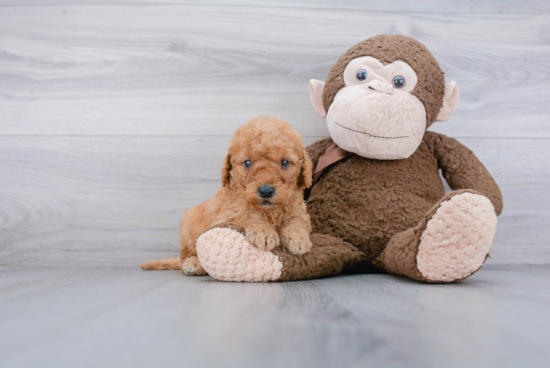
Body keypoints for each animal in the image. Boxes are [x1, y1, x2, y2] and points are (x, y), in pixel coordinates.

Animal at [140, 116, 314, 274]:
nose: (266, 191)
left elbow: (296, 221)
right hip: (188, 229)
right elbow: (247, 214)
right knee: (186, 257)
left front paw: (298, 239)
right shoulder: (226, 214)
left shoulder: (298, 210)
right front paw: (263, 232)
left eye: (284, 162)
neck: (269, 211)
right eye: (247, 163)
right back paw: (193, 264)